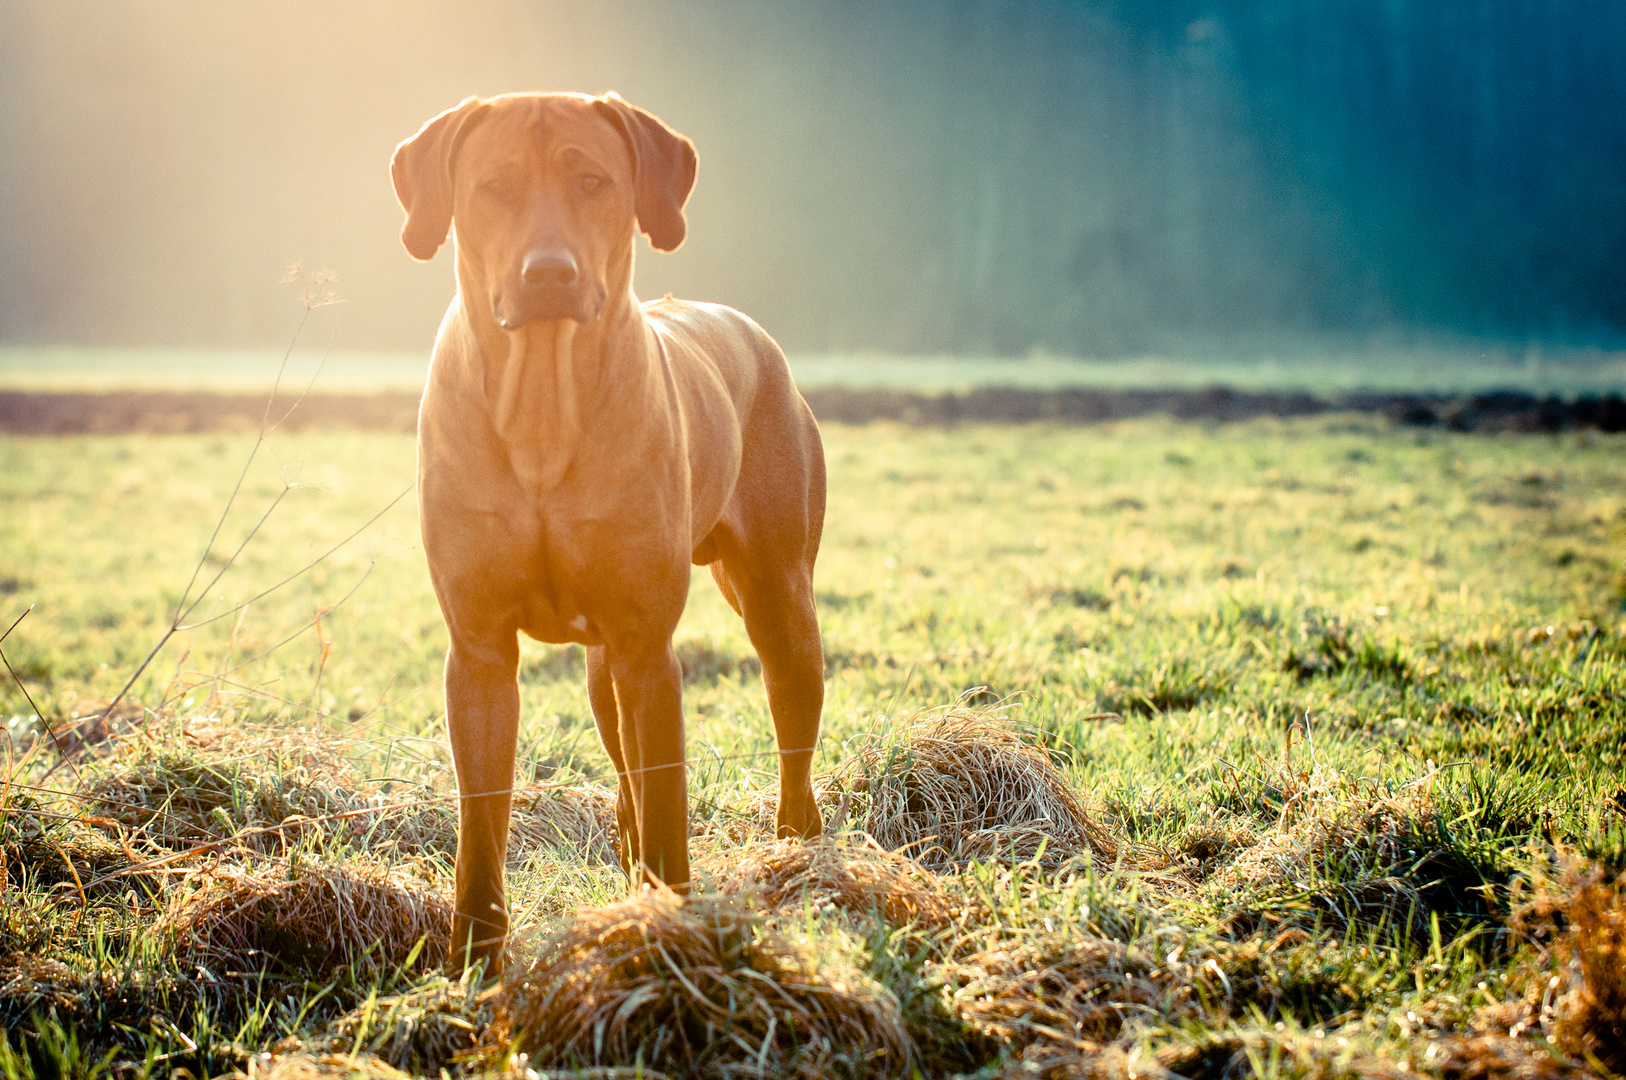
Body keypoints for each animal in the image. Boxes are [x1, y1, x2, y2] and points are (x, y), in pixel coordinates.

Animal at [390, 92, 826, 969]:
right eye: (493, 187)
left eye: (592, 181)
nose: (549, 274)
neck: (542, 404)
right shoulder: (479, 654)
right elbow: (481, 824)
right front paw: (475, 960)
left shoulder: (648, 649)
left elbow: (668, 807)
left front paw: (669, 934)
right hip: (600, 673)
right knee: (623, 774)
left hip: (780, 605)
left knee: (792, 747)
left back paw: (799, 859)